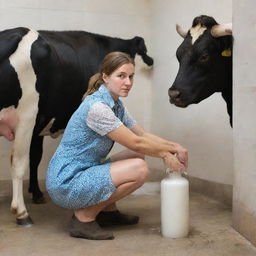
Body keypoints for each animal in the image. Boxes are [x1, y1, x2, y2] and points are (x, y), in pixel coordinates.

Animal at [0, 27, 153, 225]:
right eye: (143, 50)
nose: (151, 61)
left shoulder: (39, 125)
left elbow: (36, 157)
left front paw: (36, 193)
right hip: (26, 115)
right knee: (18, 162)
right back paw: (21, 213)